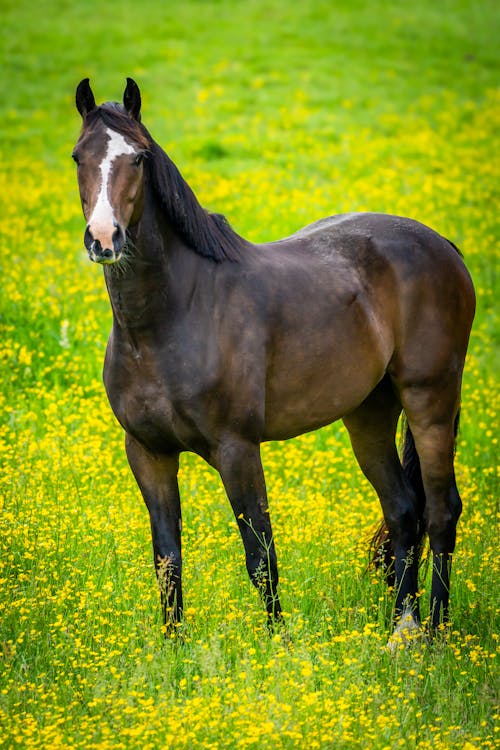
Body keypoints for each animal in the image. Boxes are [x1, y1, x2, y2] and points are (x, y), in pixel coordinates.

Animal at [72, 76, 474, 640]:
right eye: (78, 157)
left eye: (139, 158)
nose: (104, 239)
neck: (172, 317)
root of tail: (443, 246)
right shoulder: (147, 453)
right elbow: (167, 558)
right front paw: (173, 647)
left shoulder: (237, 449)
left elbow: (260, 555)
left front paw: (276, 643)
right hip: (369, 414)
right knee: (402, 511)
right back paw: (402, 628)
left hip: (430, 400)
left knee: (441, 512)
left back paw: (434, 632)